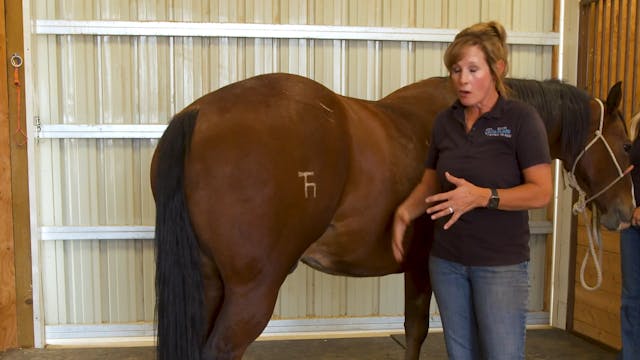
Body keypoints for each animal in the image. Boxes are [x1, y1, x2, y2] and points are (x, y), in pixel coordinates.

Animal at [151, 71, 636, 358]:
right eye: (628, 144)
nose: (626, 214)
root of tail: (198, 115)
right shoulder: (426, 268)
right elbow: (417, 330)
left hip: (209, 283)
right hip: (251, 293)